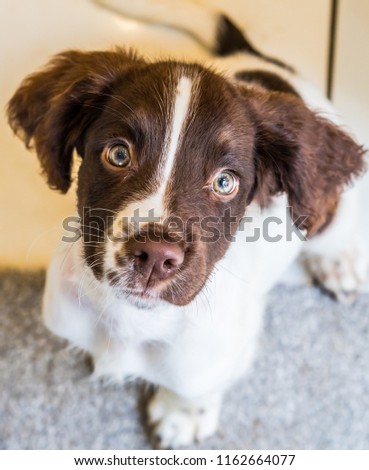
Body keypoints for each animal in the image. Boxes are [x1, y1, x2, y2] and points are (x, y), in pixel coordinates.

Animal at [7, 0, 366, 448]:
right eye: (118, 154)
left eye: (225, 181)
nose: (155, 256)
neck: (134, 321)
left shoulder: (228, 350)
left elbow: (198, 387)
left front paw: (182, 416)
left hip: (324, 213)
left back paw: (337, 264)